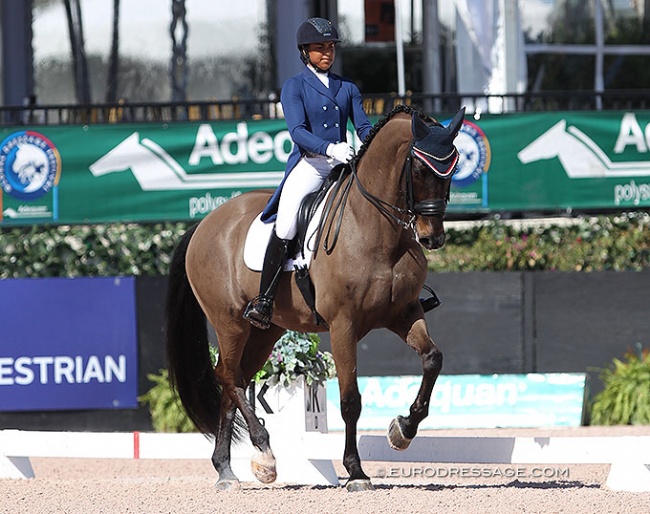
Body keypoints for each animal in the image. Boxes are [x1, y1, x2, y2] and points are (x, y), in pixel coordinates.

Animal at [165, 103, 464, 488]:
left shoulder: (404, 312)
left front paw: (403, 430)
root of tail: (203, 224)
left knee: (238, 379)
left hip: (266, 330)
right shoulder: (343, 325)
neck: (377, 229)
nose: (431, 237)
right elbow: (351, 399)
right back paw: (264, 451)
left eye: (452, 169)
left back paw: (228, 469)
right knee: (227, 376)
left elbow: (432, 359)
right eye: (417, 168)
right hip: (229, 322)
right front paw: (355, 471)